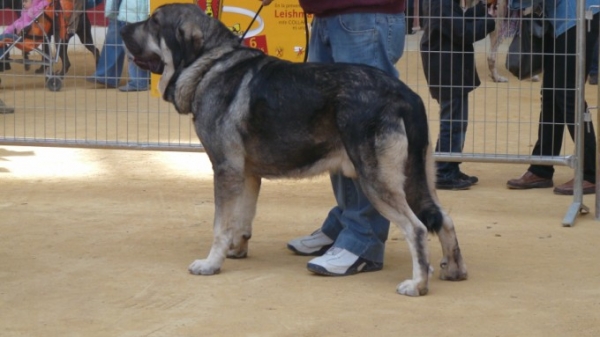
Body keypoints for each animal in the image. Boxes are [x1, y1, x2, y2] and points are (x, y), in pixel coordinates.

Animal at [120, 3, 468, 296]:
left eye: (154, 22)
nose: (122, 29)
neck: (210, 63)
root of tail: (404, 95)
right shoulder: (246, 174)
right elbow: (242, 219)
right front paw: (236, 250)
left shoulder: (225, 169)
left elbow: (220, 224)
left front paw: (211, 263)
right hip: (415, 178)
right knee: (444, 218)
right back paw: (454, 269)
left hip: (377, 182)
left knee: (417, 229)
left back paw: (417, 284)